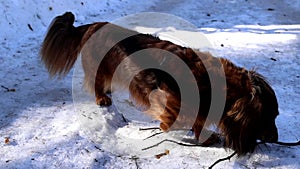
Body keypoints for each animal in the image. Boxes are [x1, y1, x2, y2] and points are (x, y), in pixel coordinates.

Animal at [40, 12, 278, 156]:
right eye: (268, 116)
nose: (275, 139)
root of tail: (94, 25)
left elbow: (198, 120)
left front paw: (205, 136)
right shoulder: (169, 99)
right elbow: (178, 118)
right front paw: (168, 126)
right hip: (99, 68)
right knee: (97, 83)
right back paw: (102, 98)